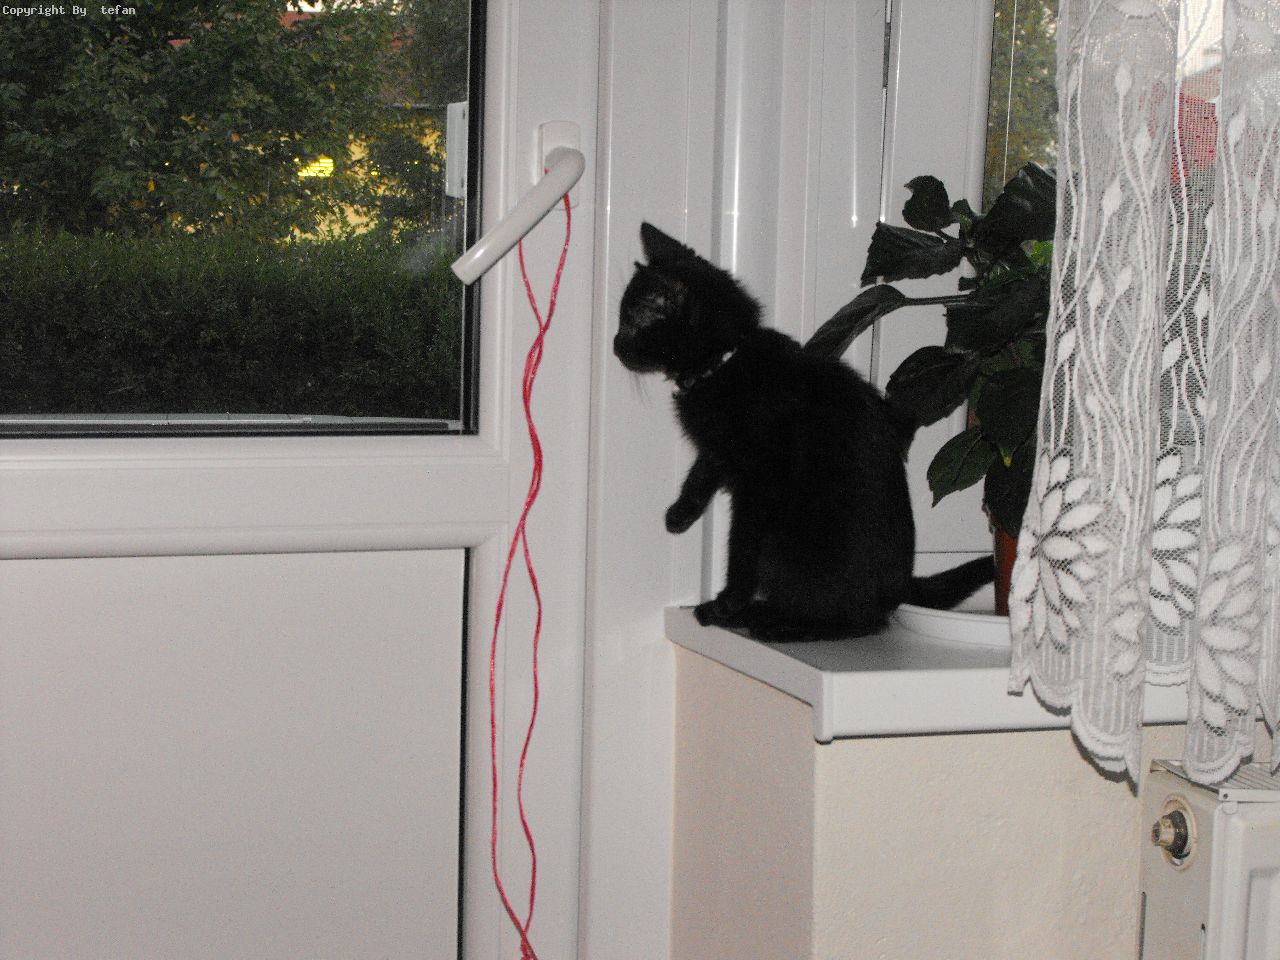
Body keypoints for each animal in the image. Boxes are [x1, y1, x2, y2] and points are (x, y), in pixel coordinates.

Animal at [613, 222, 994, 642]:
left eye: (631, 323)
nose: (615, 345)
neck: (728, 361)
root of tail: (897, 586)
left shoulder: (758, 484)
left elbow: (740, 547)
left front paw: (727, 602)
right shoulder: (719, 447)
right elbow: (703, 469)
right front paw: (680, 513)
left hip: (792, 544)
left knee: (860, 620)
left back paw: (776, 624)